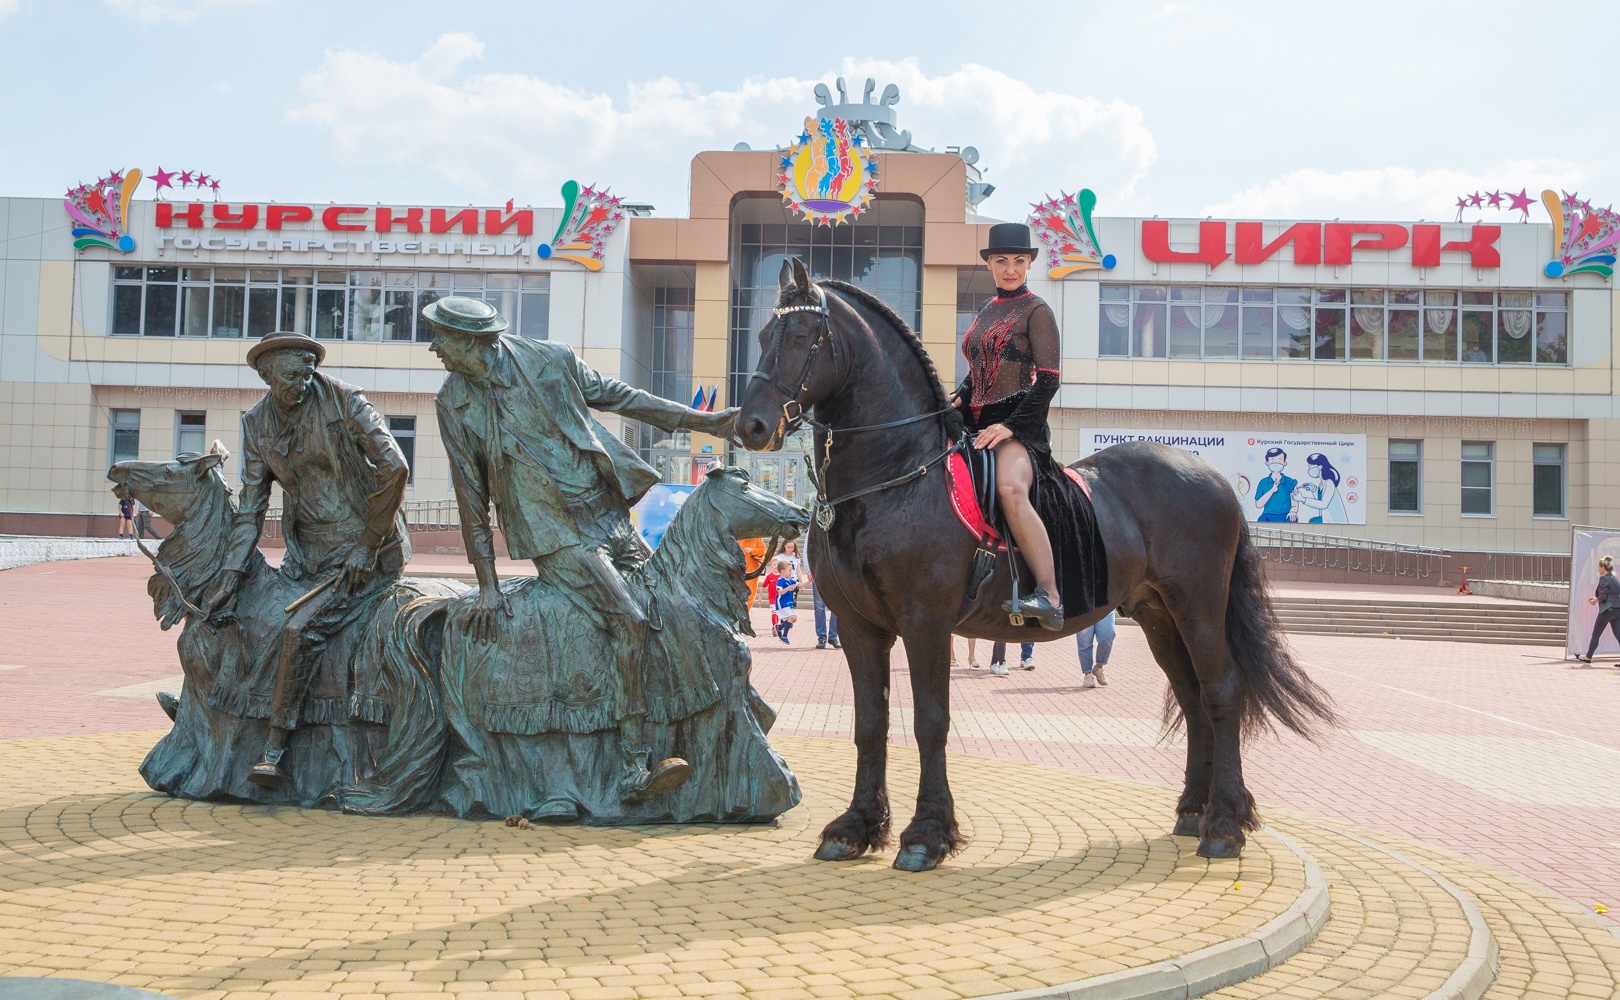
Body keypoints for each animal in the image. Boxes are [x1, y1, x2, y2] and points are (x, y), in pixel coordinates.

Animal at [741, 256, 1334, 868]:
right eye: (762, 336)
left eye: (803, 337)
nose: (751, 426)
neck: (896, 475)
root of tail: (1212, 476)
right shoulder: (861, 628)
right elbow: (869, 723)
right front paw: (856, 826)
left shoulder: (925, 623)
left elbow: (930, 722)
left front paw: (927, 834)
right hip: (1158, 614)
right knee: (1192, 700)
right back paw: (1196, 810)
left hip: (1198, 604)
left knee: (1221, 691)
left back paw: (1225, 823)